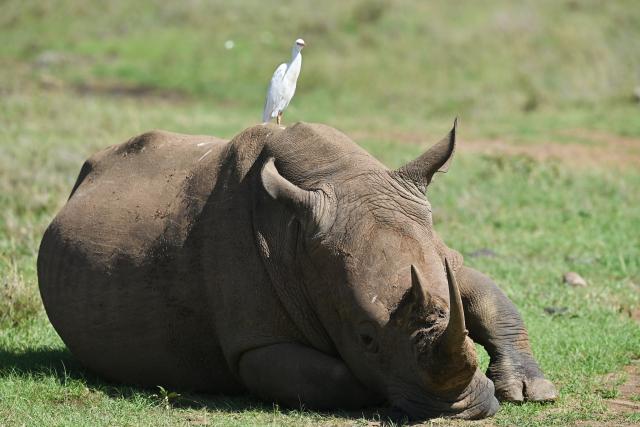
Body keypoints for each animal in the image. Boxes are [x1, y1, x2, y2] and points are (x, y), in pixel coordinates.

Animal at [38, 121, 557, 420]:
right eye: (366, 338)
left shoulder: (443, 256)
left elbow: (491, 301)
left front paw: (533, 390)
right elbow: (333, 376)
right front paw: (380, 393)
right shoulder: (255, 342)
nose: (462, 409)